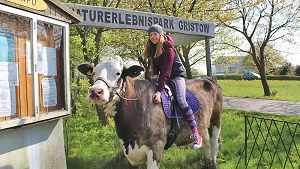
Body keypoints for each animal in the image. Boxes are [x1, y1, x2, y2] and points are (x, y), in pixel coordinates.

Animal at [77, 54, 223, 168]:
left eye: (118, 73)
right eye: (94, 72)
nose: (95, 91)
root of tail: (207, 78)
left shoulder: (155, 147)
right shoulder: (130, 154)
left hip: (216, 120)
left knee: (214, 142)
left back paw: (213, 163)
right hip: (203, 124)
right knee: (206, 141)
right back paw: (208, 163)